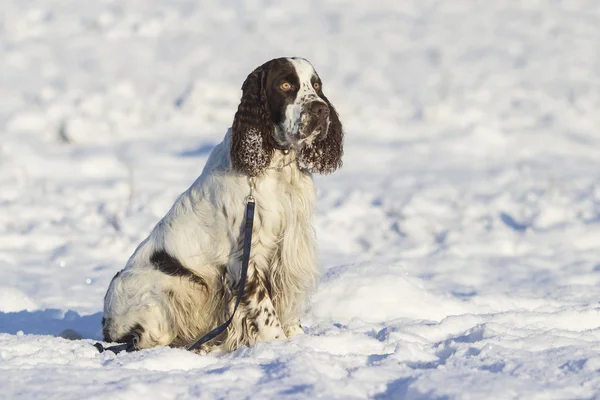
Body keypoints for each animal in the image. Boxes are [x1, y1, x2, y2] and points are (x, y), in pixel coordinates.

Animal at [102, 57, 342, 352]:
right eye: (285, 85)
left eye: (316, 85)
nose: (321, 109)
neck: (277, 166)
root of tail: (108, 327)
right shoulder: (246, 259)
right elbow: (265, 311)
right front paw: (278, 345)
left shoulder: (289, 248)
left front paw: (297, 340)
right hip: (160, 292)